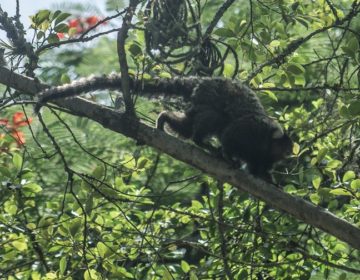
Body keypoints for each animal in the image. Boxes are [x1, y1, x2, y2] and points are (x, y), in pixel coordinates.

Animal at [157, 77, 292, 178]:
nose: (289, 154)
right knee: (216, 117)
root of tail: (208, 80)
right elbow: (230, 134)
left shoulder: (265, 157)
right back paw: (201, 141)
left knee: (187, 127)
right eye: (286, 148)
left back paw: (165, 117)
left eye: (289, 149)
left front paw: (270, 180)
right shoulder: (253, 129)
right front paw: (227, 156)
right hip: (208, 95)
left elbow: (257, 167)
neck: (267, 142)